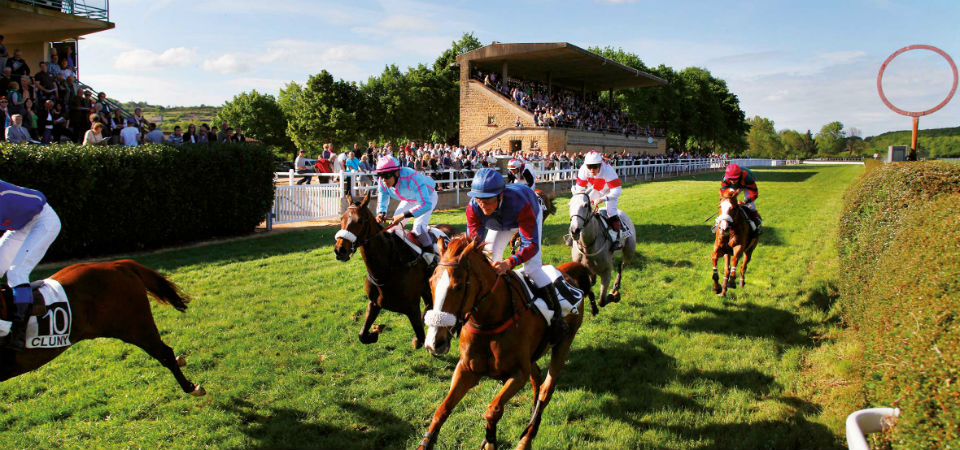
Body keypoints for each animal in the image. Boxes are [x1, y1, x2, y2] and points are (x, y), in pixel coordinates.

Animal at [334, 192, 458, 350]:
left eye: (360, 220)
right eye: (342, 219)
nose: (340, 250)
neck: (386, 269)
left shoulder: (412, 307)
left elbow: (421, 337)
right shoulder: (374, 303)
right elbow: (362, 335)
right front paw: (375, 332)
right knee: (430, 303)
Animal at [416, 236, 588, 450]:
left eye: (458, 286)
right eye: (431, 282)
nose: (434, 342)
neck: (489, 321)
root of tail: (567, 275)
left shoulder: (518, 373)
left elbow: (493, 410)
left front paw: (490, 441)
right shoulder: (466, 369)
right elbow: (442, 409)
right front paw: (426, 442)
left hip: (564, 343)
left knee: (546, 390)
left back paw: (526, 437)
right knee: (537, 379)